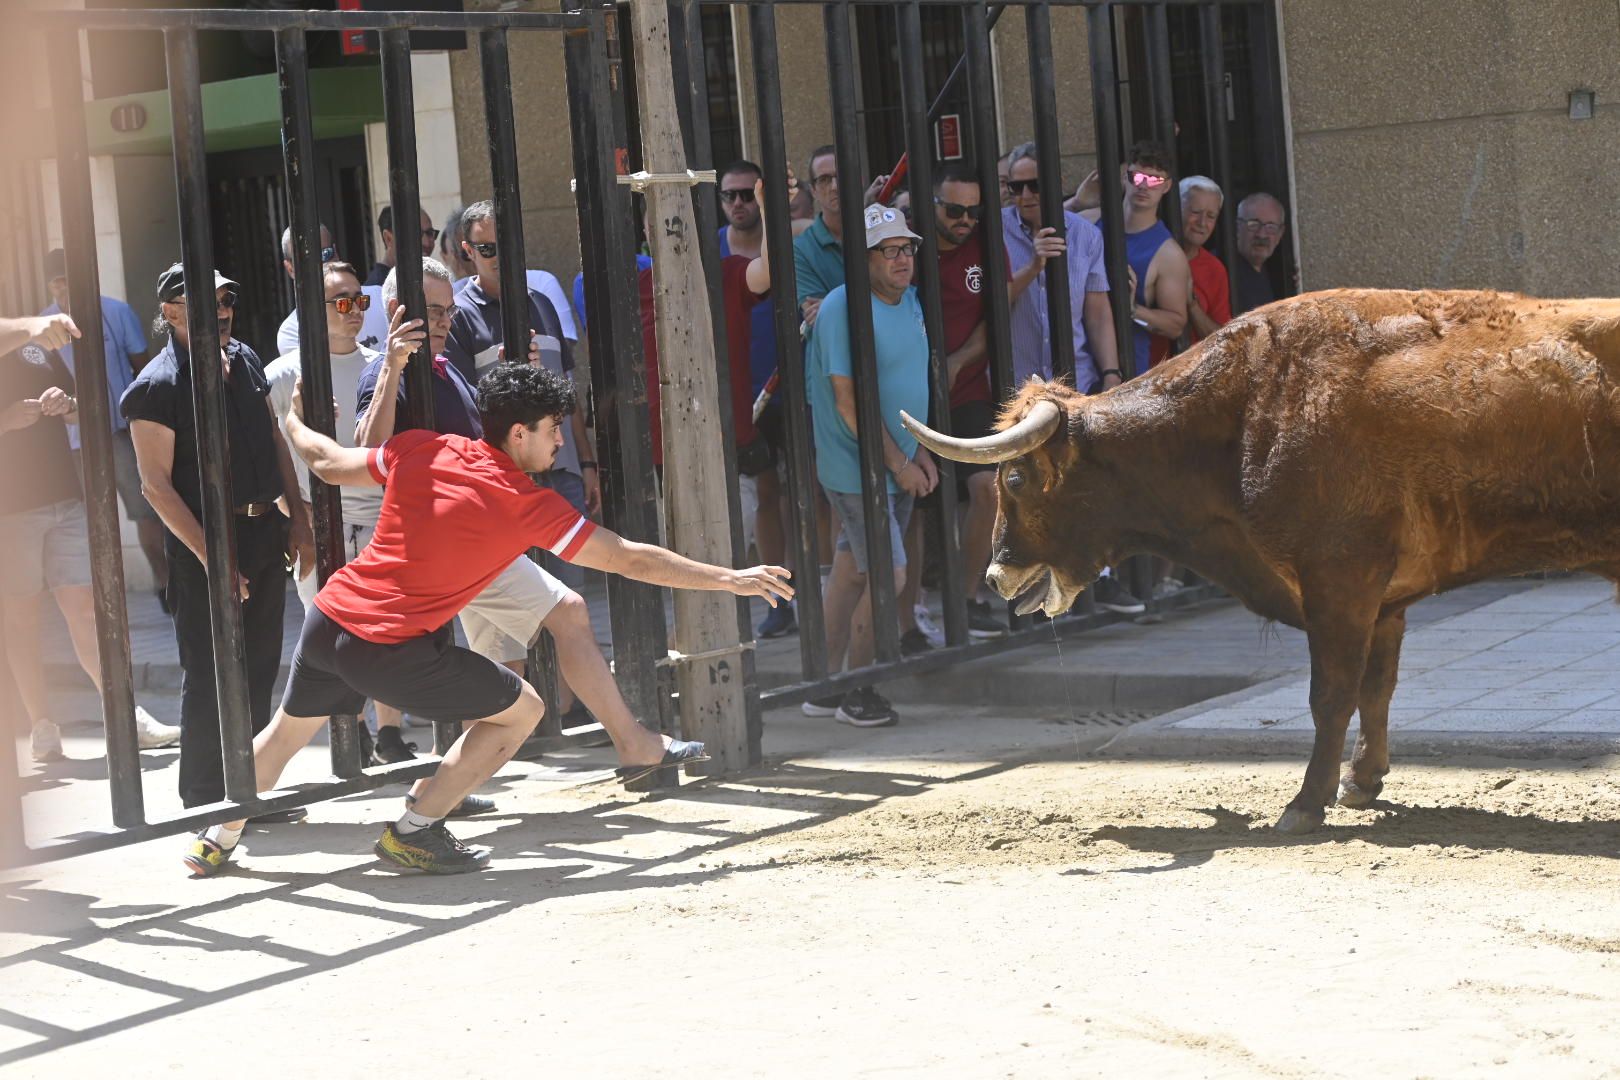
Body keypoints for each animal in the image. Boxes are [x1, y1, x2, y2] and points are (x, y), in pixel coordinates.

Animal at [900, 289, 1620, 835]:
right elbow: (1376, 688)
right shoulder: (1384, 602)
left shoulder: (1339, 586)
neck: (1245, 408)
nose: (996, 576)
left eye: (1016, 479)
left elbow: (1331, 696)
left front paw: (1305, 803)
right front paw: (1362, 781)